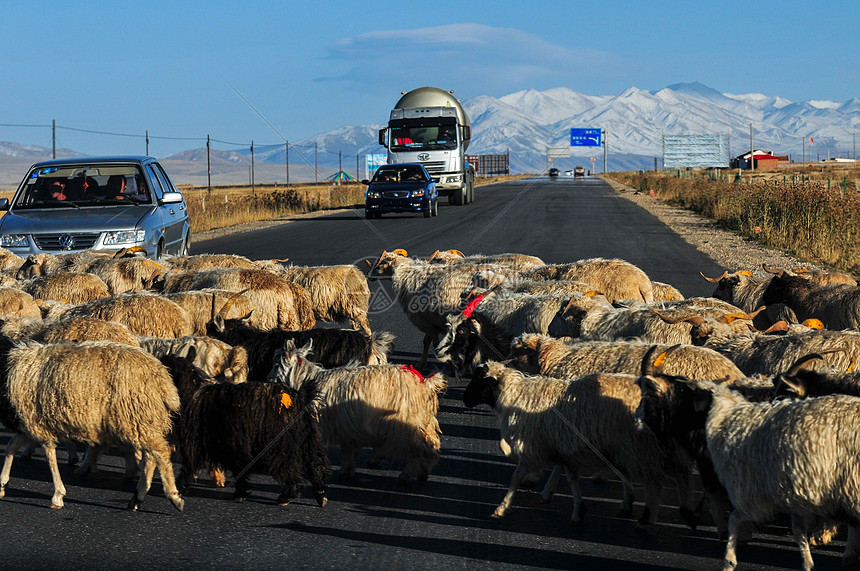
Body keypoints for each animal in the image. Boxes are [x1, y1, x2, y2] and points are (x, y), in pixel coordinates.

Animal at [0, 340, 185, 512]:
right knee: (151, 458)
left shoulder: (36, 423)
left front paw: (58, 495)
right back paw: (137, 498)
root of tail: (163, 380)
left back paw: (173, 497)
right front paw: (2, 484)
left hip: (137, 417)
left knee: (161, 453)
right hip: (143, 420)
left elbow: (49, 455)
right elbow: (11, 447)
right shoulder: (27, 425)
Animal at [268, 342, 446, 484]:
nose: (268, 381)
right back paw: (422, 472)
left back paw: (407, 474)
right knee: (432, 444)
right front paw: (347, 470)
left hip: (406, 423)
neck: (308, 382)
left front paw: (342, 471)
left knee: (420, 448)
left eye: (277, 365)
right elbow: (348, 449)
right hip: (423, 421)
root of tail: (425, 382)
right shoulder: (347, 427)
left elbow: (344, 449)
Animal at [460, 362, 696, 528]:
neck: (516, 396)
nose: (464, 400)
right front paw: (576, 509)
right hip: (641, 446)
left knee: (657, 481)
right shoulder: (563, 444)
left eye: (479, 380)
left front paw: (502, 507)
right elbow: (569, 476)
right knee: (677, 475)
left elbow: (517, 476)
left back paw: (649, 518)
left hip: (644, 446)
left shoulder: (534, 444)